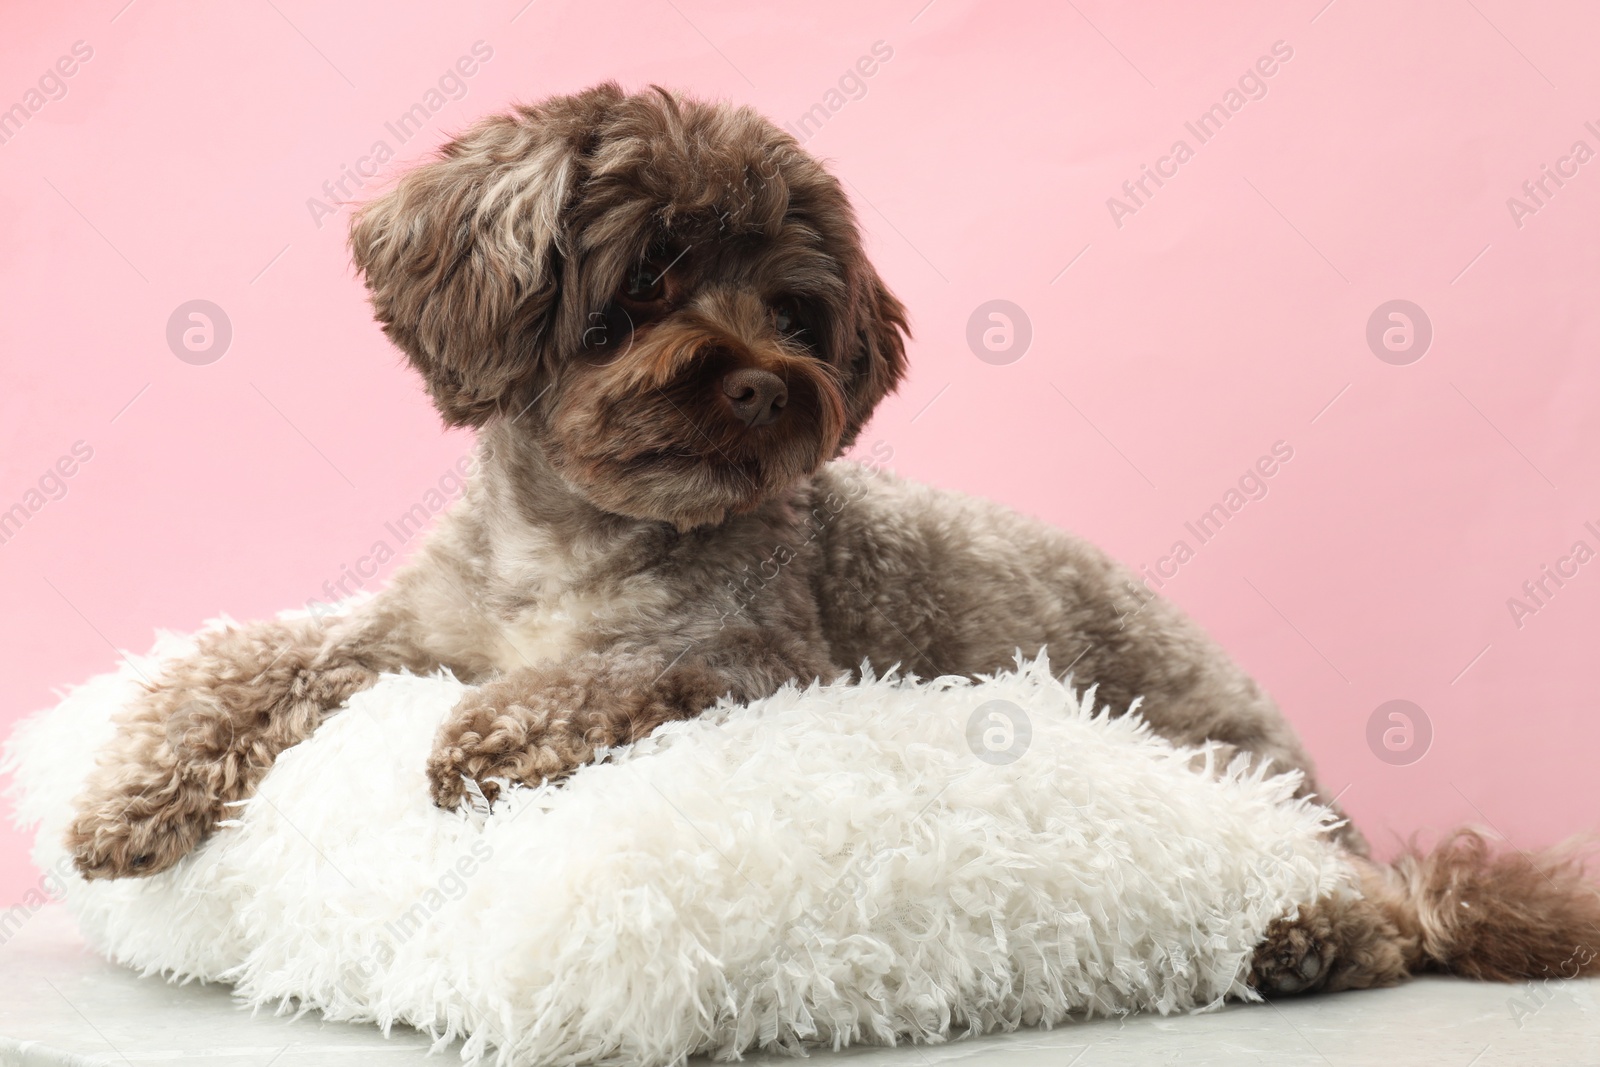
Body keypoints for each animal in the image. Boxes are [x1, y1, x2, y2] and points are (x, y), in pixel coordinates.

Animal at [65, 85, 1600, 1004]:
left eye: (797, 308)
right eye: (646, 279)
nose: (762, 383)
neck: (576, 535)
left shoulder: (752, 655)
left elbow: (607, 673)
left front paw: (489, 736)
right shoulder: (403, 631)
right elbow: (244, 660)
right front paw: (124, 795)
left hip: (1221, 766)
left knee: (1383, 905)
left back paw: (1312, 934)